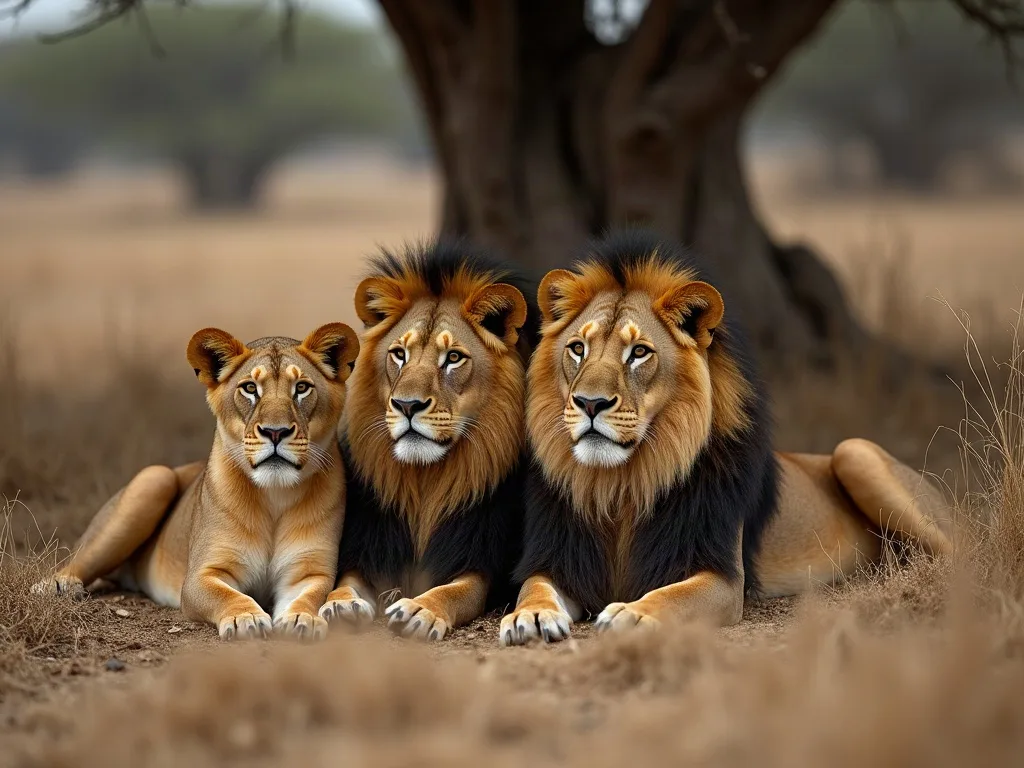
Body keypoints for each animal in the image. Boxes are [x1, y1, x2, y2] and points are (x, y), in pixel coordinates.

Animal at [32, 323, 359, 641]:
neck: (274, 495)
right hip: (155, 478)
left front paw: (302, 618)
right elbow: (227, 596)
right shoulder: (200, 575)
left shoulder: (309, 573)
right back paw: (58, 586)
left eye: (301, 388)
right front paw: (247, 618)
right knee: (77, 559)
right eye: (250, 388)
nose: (275, 432)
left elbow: (309, 596)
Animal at [319, 239, 537, 641]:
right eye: (399, 355)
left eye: (453, 358)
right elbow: (345, 582)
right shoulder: (369, 549)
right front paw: (340, 604)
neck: (426, 484)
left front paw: (419, 609)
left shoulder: (482, 566)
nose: (408, 405)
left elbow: (454, 591)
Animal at [500, 230, 951, 646]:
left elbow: (671, 596)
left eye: (640, 353)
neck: (624, 484)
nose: (590, 403)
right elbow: (534, 587)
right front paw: (531, 616)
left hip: (854, 452)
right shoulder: (559, 560)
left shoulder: (723, 578)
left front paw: (632, 613)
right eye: (578, 348)